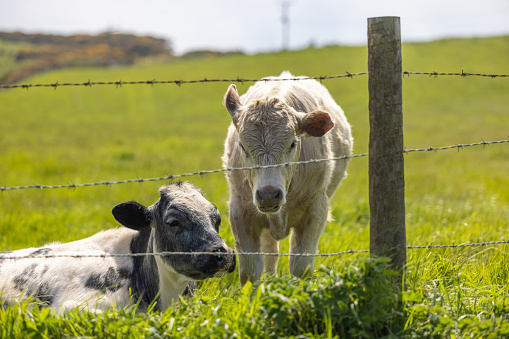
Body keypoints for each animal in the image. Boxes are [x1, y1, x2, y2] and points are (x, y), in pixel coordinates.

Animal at [222, 71, 354, 286]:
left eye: (292, 144)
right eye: (242, 146)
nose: (268, 195)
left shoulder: (316, 210)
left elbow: (301, 267)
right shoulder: (239, 212)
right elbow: (249, 272)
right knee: (270, 250)